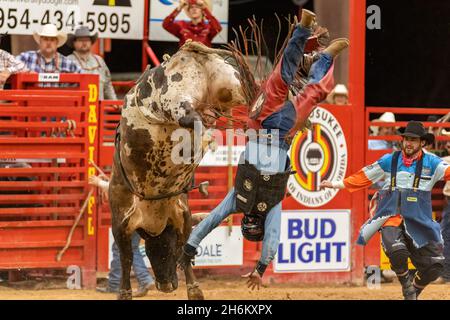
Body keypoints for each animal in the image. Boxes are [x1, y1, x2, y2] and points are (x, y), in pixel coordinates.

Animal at [107, 40, 251, 300]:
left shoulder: (170, 216)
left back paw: (204, 137)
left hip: (176, 101)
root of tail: (184, 53)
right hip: (233, 85)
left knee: (192, 119)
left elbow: (132, 257)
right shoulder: (133, 223)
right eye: (153, 252)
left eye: (165, 250)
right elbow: (129, 258)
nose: (165, 285)